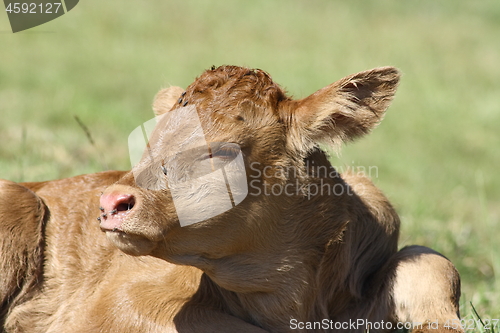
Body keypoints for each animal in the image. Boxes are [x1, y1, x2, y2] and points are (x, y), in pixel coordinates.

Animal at [0, 65, 460, 332]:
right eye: (151, 140)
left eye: (220, 152)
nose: (110, 202)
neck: (294, 301)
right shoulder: (123, 303)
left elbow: (430, 262)